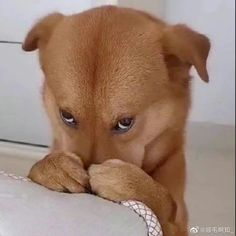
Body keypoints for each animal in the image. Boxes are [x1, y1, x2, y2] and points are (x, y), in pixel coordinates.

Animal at [22, 6, 210, 236]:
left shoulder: (178, 222)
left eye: (125, 122)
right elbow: (38, 167)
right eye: (66, 115)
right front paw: (53, 167)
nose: (90, 195)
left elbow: (166, 201)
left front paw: (128, 182)